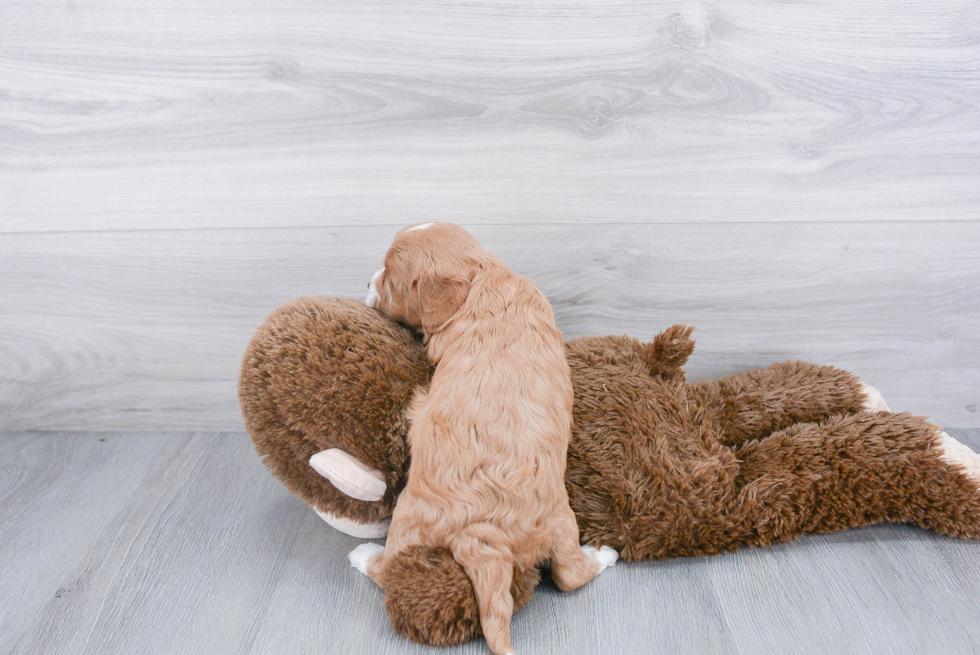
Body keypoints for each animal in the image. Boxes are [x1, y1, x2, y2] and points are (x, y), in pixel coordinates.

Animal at [350, 222, 612, 655]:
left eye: (390, 280)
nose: (365, 281)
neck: (483, 278)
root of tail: (483, 534)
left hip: (407, 517)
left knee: (388, 567)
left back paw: (364, 555)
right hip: (562, 518)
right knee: (570, 574)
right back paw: (604, 554)